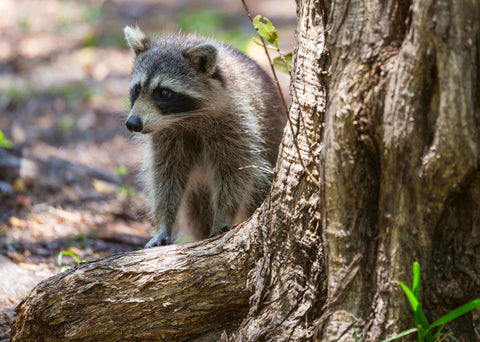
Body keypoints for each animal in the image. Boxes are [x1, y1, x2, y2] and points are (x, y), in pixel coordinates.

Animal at [124, 25, 284, 247]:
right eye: (137, 89)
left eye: (164, 92)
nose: (133, 124)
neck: (184, 119)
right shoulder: (166, 136)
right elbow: (165, 175)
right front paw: (164, 223)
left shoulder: (236, 122)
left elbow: (235, 172)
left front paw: (223, 214)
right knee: (196, 213)